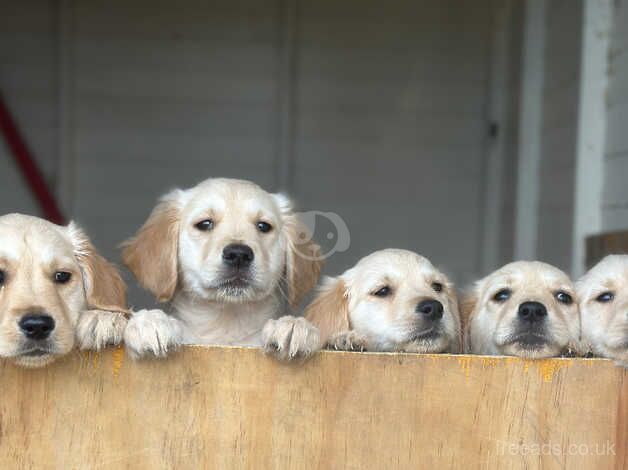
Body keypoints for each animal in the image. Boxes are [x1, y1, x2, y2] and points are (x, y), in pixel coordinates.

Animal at [121, 178, 322, 358]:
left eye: (263, 226)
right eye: (204, 224)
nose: (238, 255)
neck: (225, 323)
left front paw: (293, 325)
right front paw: (150, 322)